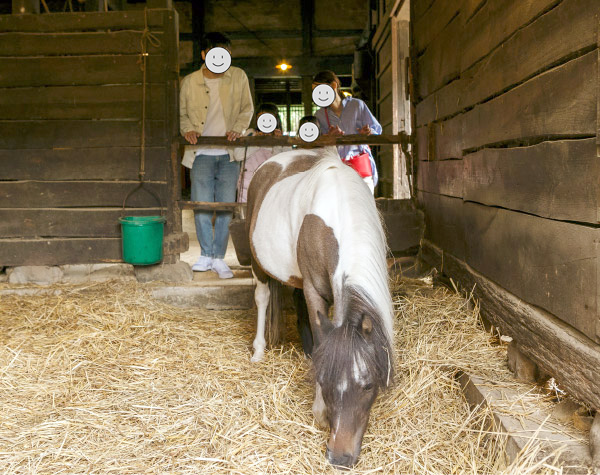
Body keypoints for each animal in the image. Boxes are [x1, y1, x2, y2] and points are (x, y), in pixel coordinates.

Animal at [246, 149, 396, 468]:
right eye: (324, 381)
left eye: (368, 386)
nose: (339, 456)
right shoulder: (315, 289)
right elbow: (320, 333)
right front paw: (318, 408)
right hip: (258, 264)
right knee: (263, 297)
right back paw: (259, 350)